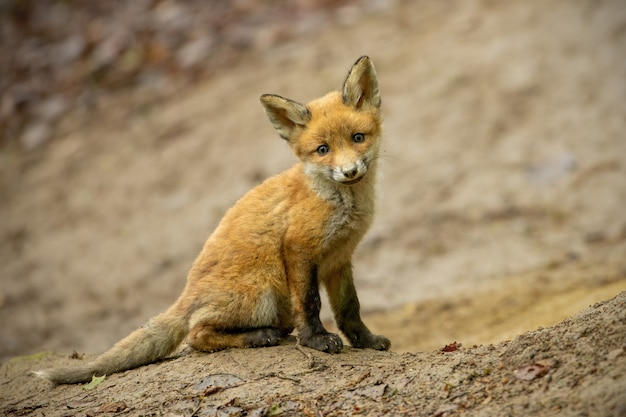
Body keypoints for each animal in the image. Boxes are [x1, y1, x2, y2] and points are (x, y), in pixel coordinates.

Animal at [36, 54, 388, 384]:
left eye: (358, 138)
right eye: (322, 149)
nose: (350, 171)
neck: (340, 204)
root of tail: (186, 292)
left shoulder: (340, 259)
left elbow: (350, 307)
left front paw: (365, 340)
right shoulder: (298, 249)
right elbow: (311, 303)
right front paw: (317, 340)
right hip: (262, 291)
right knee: (196, 335)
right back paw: (258, 336)